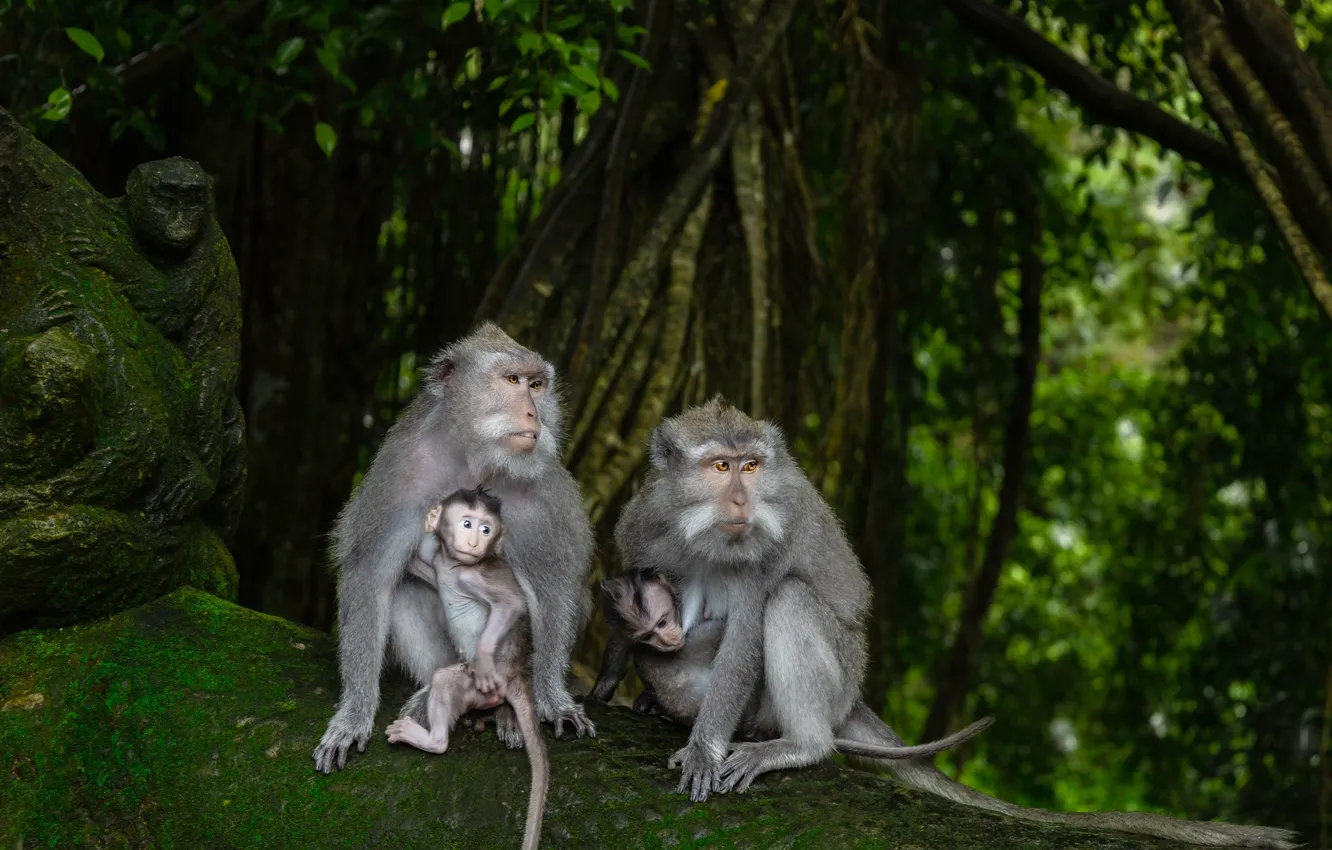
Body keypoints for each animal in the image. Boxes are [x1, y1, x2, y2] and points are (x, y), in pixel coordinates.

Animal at [314, 322, 595, 775]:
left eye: (537, 385)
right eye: (512, 380)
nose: (533, 413)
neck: (474, 458)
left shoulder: (541, 493)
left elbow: (554, 587)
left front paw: (553, 697)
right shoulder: (402, 470)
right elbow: (371, 573)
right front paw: (354, 714)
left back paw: (505, 711)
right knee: (404, 585)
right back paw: (434, 691)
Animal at [385, 488, 547, 850]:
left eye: (486, 529)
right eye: (467, 523)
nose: (474, 541)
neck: (456, 564)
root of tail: (517, 674)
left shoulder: (471, 576)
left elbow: (511, 604)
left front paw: (484, 660)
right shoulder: (440, 567)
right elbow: (420, 567)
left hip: (485, 686)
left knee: (445, 680)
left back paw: (432, 739)